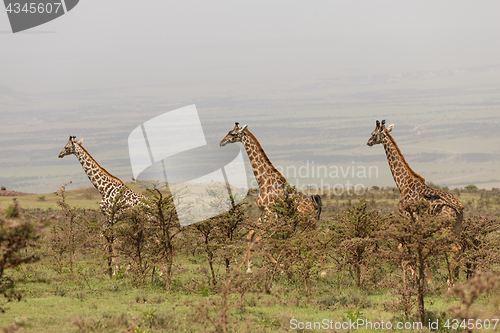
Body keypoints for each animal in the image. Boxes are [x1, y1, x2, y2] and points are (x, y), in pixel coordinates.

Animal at [220, 123, 324, 274]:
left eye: (233, 134)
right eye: (228, 132)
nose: (222, 142)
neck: (263, 181)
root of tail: (312, 203)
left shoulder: (271, 215)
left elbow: (260, 239)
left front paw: (278, 266)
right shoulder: (264, 213)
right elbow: (250, 235)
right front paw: (249, 267)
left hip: (307, 220)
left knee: (315, 238)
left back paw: (322, 271)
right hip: (299, 221)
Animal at [368, 120, 464, 286]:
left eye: (373, 134)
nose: (368, 142)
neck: (403, 184)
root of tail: (460, 207)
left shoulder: (407, 217)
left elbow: (405, 246)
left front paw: (415, 279)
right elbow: (417, 245)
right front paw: (422, 278)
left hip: (445, 228)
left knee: (454, 248)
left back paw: (450, 283)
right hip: (456, 228)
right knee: (457, 248)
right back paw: (455, 282)